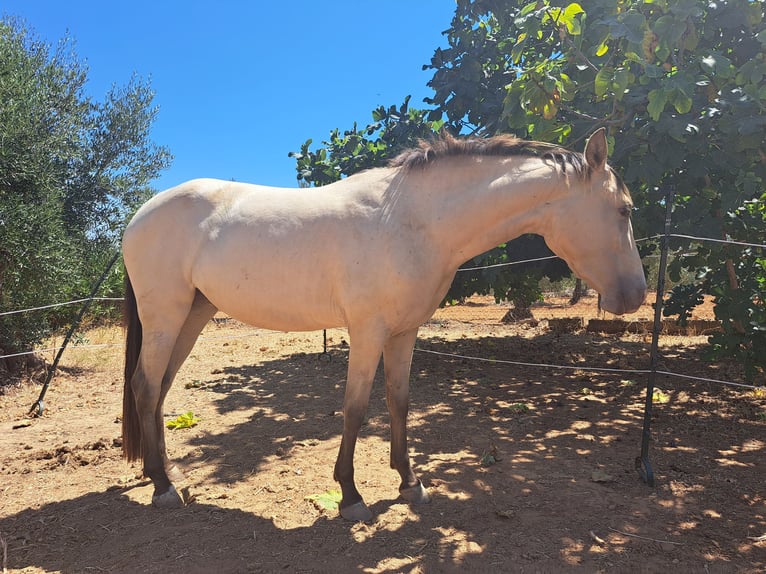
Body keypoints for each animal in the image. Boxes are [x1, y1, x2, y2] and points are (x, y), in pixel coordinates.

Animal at [120, 129, 648, 520]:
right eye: (623, 210)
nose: (636, 295)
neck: (414, 220)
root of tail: (140, 214)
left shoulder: (403, 333)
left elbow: (399, 403)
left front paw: (409, 483)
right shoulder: (367, 332)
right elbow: (355, 408)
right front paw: (351, 496)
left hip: (192, 314)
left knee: (159, 388)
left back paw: (164, 472)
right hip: (165, 314)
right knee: (145, 385)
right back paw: (164, 488)